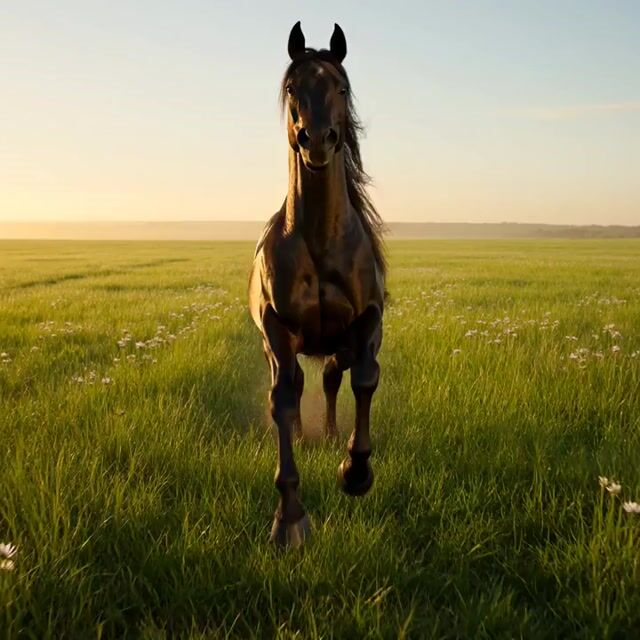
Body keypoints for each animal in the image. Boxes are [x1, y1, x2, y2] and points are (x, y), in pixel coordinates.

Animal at [248, 21, 386, 548]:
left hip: (339, 342)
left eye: (340, 88)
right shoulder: (277, 330)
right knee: (306, 381)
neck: (321, 240)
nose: (317, 142)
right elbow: (283, 401)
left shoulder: (369, 320)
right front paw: (290, 518)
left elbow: (365, 379)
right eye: (292, 88)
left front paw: (355, 472)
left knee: (332, 376)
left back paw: (329, 436)